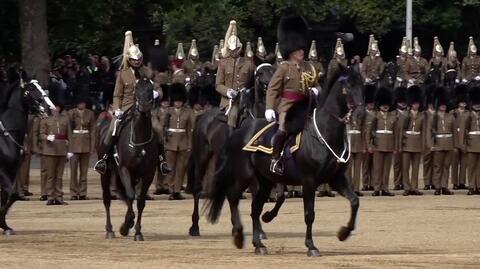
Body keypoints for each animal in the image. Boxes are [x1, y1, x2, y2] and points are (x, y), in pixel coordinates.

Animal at [0, 76, 54, 233]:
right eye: (31, 89)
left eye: (41, 87)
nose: (50, 108)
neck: (5, 137)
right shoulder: (2, 171)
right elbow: (13, 194)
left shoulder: (11, 171)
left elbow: (9, 197)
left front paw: (5, 226)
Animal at [95, 77, 158, 241]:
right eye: (136, 89)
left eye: (150, 88)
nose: (144, 105)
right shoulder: (124, 169)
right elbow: (130, 196)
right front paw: (126, 225)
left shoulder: (148, 174)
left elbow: (140, 201)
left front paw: (137, 231)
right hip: (106, 173)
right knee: (107, 199)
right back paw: (110, 230)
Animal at [206, 64, 364, 255]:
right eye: (346, 87)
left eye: (362, 85)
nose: (361, 113)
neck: (325, 134)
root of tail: (239, 128)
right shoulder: (309, 181)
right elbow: (309, 214)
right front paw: (311, 245)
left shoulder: (336, 178)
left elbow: (354, 201)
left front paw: (343, 233)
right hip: (245, 175)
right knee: (233, 196)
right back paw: (238, 235)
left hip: (265, 180)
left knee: (255, 208)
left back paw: (258, 244)